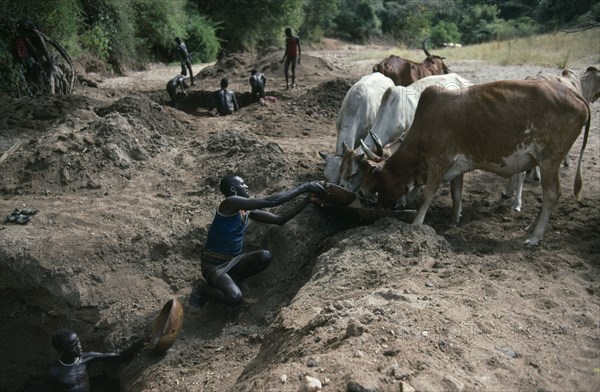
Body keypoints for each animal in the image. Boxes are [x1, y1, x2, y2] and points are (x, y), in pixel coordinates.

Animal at [360, 79, 592, 245]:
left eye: (377, 179)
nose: (378, 208)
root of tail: (574, 94)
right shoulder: (458, 164)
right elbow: (456, 193)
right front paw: (454, 219)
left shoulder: (438, 162)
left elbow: (427, 194)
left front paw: (416, 224)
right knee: (548, 195)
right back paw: (531, 228)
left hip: (549, 160)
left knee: (552, 193)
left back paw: (535, 237)